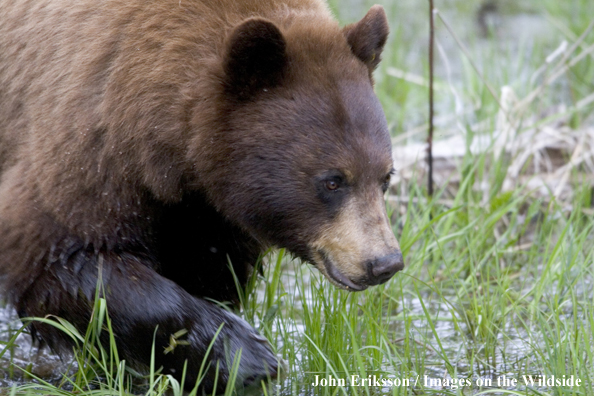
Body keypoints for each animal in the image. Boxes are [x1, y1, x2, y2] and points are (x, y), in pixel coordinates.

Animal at [0, 0, 402, 392]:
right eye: (332, 181)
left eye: (385, 176)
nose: (385, 262)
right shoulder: (87, 147)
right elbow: (59, 257)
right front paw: (248, 355)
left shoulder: (206, 215)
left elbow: (206, 271)